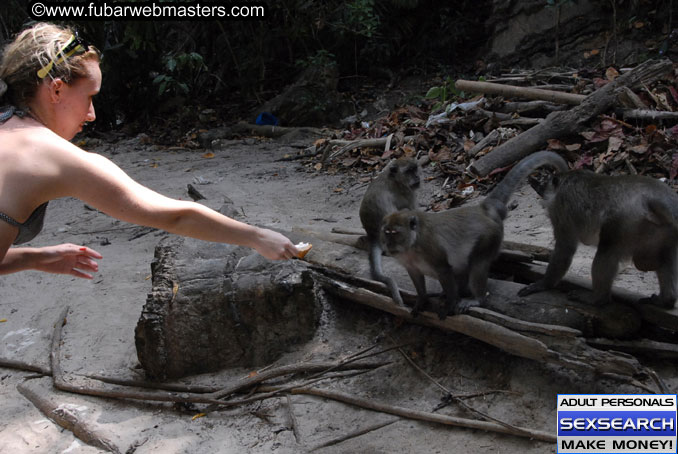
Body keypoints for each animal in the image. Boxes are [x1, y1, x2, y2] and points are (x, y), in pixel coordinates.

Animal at [358, 155, 422, 306]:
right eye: (409, 171)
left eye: (415, 169)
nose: (417, 176)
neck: (394, 180)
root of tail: (374, 237)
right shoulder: (408, 192)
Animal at [382, 151, 568, 318]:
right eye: (386, 232)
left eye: (395, 233)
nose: (388, 246)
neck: (411, 246)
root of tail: (482, 209)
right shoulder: (408, 260)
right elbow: (416, 275)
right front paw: (421, 300)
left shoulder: (430, 249)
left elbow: (444, 270)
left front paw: (450, 304)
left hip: (490, 237)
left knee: (477, 264)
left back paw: (476, 298)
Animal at [520, 168, 678, 310]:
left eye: (542, 178)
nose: (534, 180)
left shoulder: (560, 207)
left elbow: (565, 248)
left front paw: (545, 284)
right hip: (666, 233)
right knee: (665, 259)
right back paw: (667, 300)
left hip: (626, 221)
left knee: (606, 251)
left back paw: (598, 299)